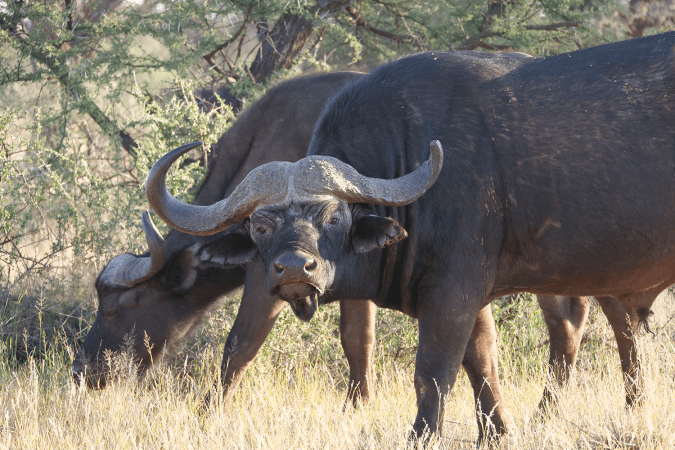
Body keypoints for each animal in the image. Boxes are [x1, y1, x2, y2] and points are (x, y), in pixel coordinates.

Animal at [145, 32, 672, 442]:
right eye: (259, 226)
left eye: (334, 217)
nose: (294, 268)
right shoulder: (468, 299)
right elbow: (482, 366)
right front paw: (497, 432)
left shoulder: (452, 294)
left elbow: (432, 376)